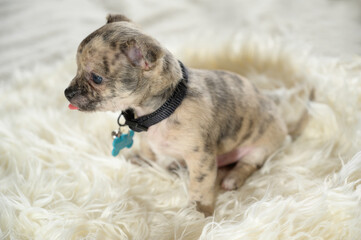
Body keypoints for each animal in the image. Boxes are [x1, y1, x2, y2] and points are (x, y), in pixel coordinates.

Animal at [64, 14, 298, 215]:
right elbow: (149, 152)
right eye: (76, 69)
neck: (163, 108)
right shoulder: (148, 140)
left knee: (248, 164)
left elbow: (200, 186)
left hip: (261, 147)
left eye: (96, 78)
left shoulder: (201, 158)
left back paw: (232, 178)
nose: (67, 93)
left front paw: (198, 212)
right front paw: (143, 161)